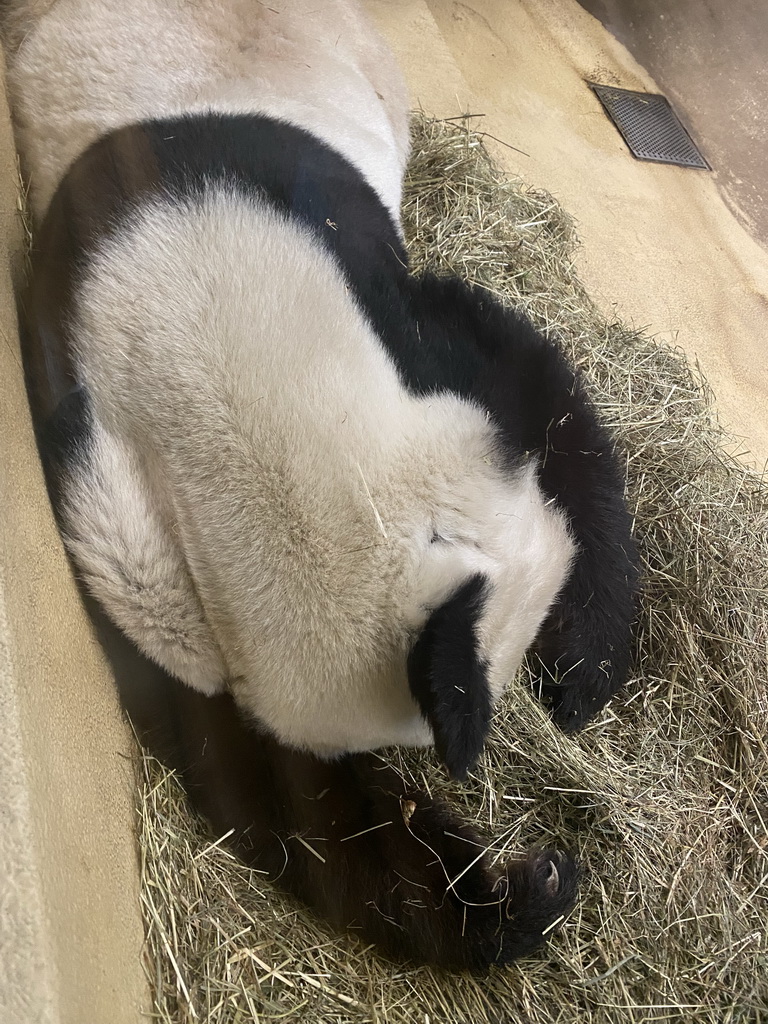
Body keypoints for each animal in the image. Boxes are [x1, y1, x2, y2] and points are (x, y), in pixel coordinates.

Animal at [1, 0, 638, 966]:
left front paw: (582, 674)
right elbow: (294, 803)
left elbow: (542, 398)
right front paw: (518, 890)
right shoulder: (142, 566)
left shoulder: (379, 302)